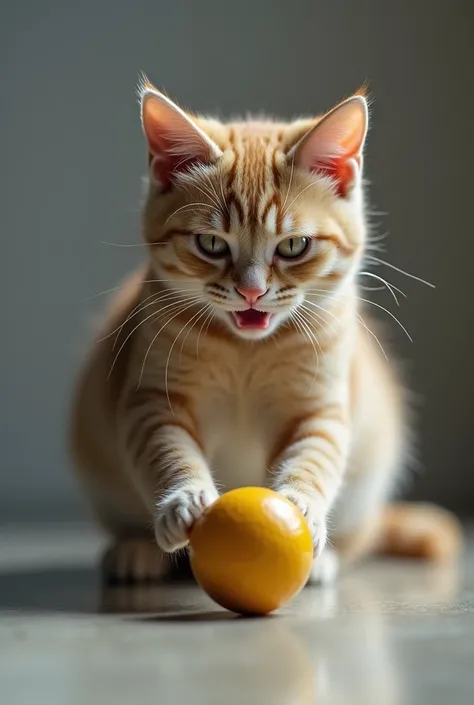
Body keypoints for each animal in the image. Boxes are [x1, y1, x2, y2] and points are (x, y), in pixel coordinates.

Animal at [69, 77, 460, 584]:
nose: (251, 291)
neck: (246, 351)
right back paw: (137, 550)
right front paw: (184, 499)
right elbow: (167, 449)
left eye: (294, 246)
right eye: (211, 243)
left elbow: (313, 456)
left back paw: (322, 561)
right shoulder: (151, 399)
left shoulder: (318, 408)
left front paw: (300, 506)